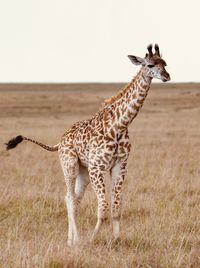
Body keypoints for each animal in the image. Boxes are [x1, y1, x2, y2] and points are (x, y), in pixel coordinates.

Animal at [5, 44, 170, 245]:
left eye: (165, 63)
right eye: (150, 64)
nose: (167, 76)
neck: (119, 126)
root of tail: (60, 141)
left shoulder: (120, 165)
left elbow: (116, 206)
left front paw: (116, 240)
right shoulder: (97, 167)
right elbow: (103, 206)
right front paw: (92, 239)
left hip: (83, 172)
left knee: (75, 199)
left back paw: (72, 240)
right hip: (70, 166)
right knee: (69, 198)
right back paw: (75, 240)